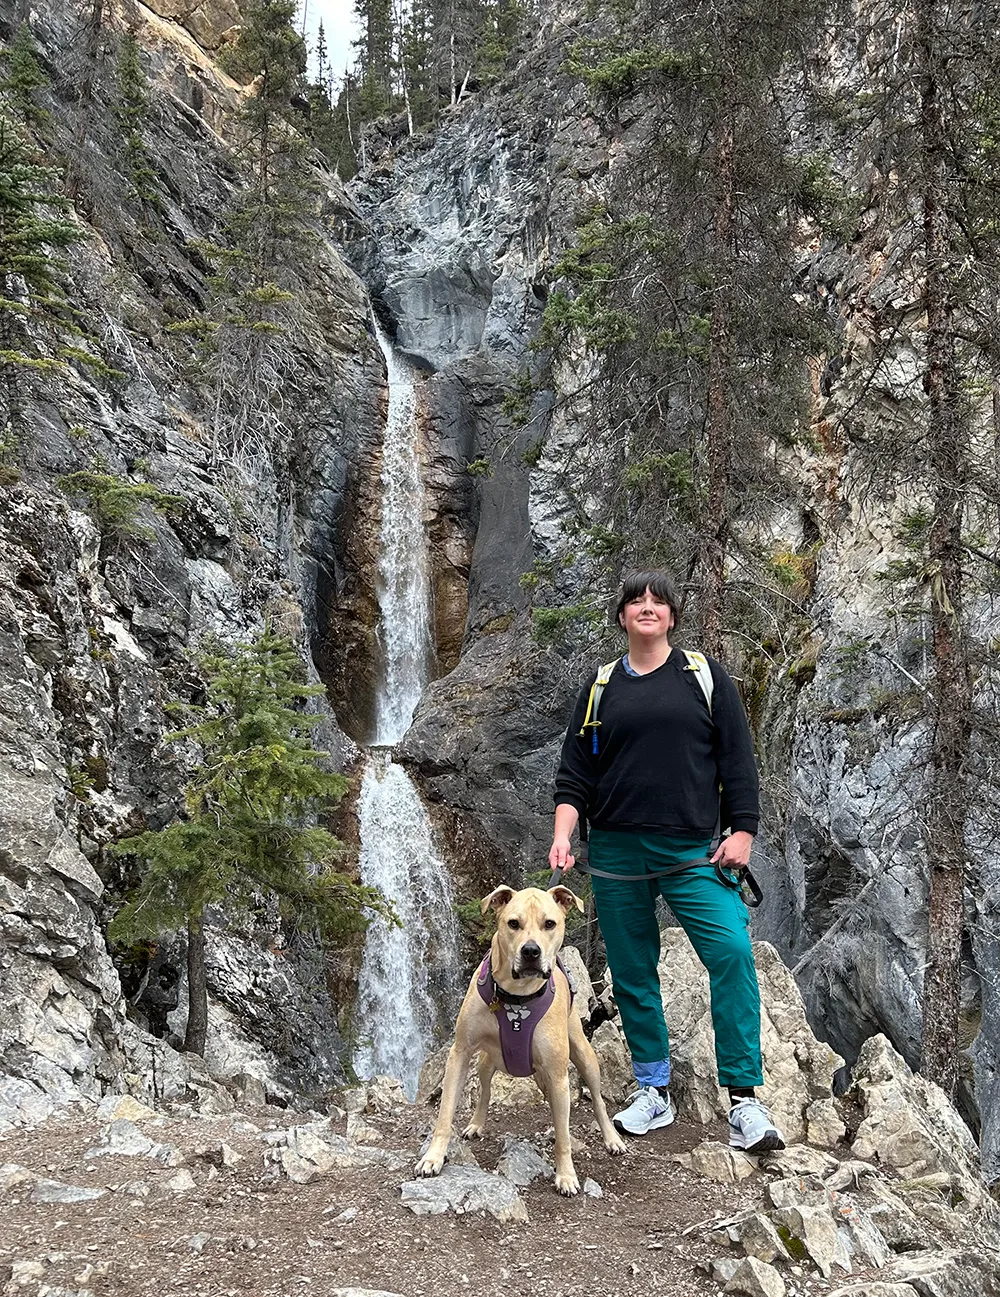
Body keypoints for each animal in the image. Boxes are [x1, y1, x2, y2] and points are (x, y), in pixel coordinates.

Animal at [415, 881, 625, 1193]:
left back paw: (612, 1138)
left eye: (549, 924)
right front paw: (433, 1157)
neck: (516, 996)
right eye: (513, 923)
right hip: (486, 1061)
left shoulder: (558, 1073)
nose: (531, 951)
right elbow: (445, 1112)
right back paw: (476, 1123)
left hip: (583, 1055)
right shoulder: (460, 1053)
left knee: (597, 1099)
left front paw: (566, 1175)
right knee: (486, 1091)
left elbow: (564, 1135)